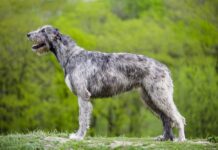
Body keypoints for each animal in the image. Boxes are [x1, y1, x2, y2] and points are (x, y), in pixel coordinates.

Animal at [26, 25, 185, 141]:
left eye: (43, 30)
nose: (28, 34)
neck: (71, 56)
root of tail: (164, 67)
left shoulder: (83, 96)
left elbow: (82, 118)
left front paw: (78, 136)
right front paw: (78, 135)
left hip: (160, 95)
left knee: (178, 118)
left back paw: (181, 140)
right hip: (149, 98)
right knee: (166, 118)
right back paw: (165, 138)